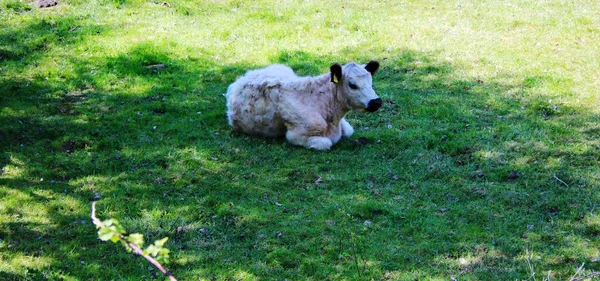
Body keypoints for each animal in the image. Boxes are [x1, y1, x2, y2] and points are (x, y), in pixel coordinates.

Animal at [225, 60, 380, 150]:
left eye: (371, 82)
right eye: (352, 85)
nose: (376, 101)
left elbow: (348, 131)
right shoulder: (295, 135)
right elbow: (325, 143)